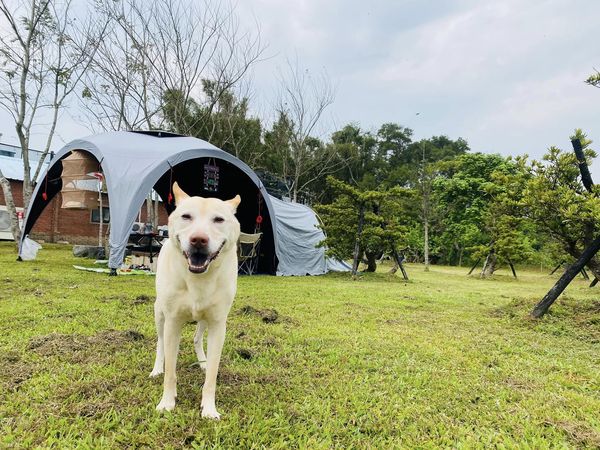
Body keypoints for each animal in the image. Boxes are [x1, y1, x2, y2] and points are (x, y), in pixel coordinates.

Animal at [151, 181, 240, 420]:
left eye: (218, 219)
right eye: (186, 216)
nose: (198, 239)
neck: (199, 278)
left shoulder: (218, 325)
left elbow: (212, 376)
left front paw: (209, 408)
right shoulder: (172, 322)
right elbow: (170, 372)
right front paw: (167, 402)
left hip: (203, 319)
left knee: (197, 338)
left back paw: (202, 361)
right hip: (159, 313)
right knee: (160, 342)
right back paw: (157, 368)